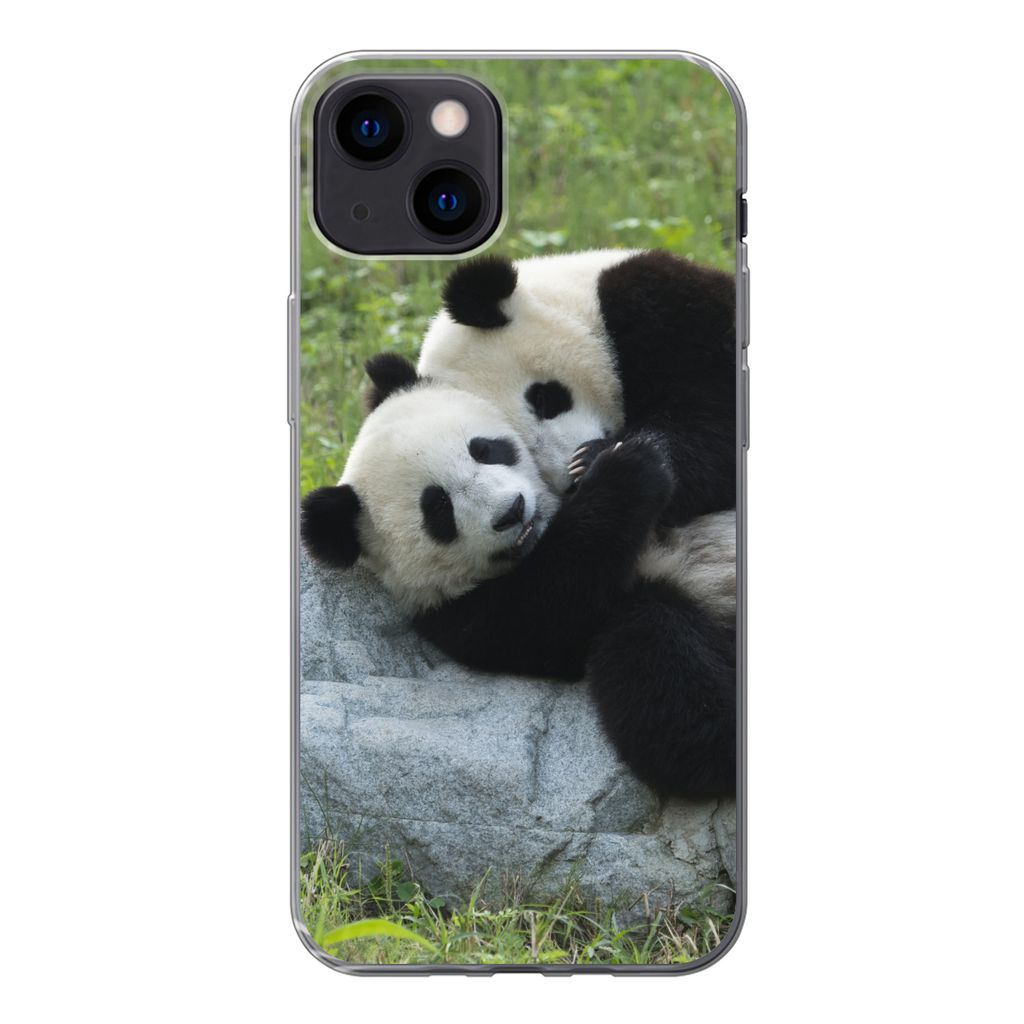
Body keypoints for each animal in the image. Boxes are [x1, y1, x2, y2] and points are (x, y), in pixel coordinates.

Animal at [301, 353, 736, 798]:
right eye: (439, 509)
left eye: (485, 449)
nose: (512, 510)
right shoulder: (461, 616)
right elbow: (551, 603)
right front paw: (628, 468)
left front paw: (605, 455)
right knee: (658, 660)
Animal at [416, 249, 736, 527]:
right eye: (519, 452)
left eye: (543, 398)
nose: (571, 483)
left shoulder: (670, 313)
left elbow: (713, 425)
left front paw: (593, 458)